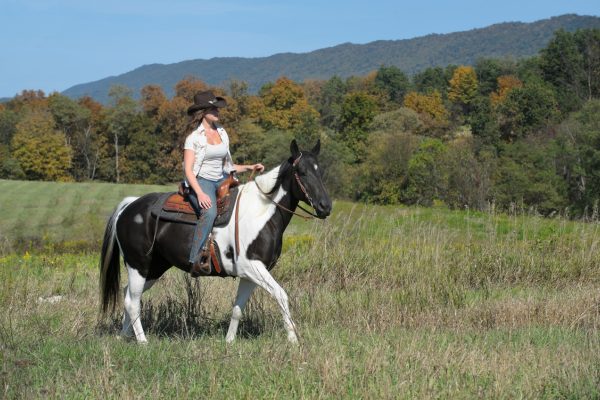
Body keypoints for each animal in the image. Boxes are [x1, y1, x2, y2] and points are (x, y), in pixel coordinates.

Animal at [99, 139, 332, 342]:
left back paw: (124, 336)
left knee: (128, 295)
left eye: (320, 172)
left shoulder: (250, 274)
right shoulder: (252, 267)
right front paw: (293, 339)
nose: (325, 206)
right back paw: (142, 341)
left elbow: (238, 309)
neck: (261, 212)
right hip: (138, 265)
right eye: (302, 172)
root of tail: (130, 205)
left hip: (154, 268)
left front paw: (229, 342)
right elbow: (281, 295)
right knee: (133, 302)